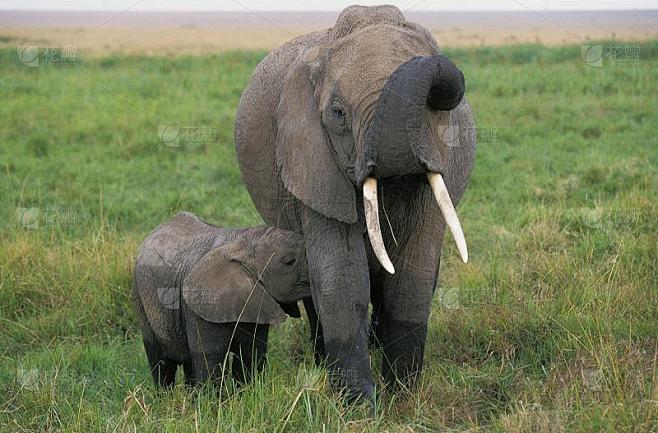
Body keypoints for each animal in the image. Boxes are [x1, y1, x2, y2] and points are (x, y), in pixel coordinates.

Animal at [132, 211, 310, 388]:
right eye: (289, 261)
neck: (243, 243)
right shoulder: (200, 306)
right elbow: (211, 357)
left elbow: (251, 352)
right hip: (140, 297)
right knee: (161, 362)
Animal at [234, 5, 476, 401]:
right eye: (337, 113)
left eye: (434, 106)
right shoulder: (312, 162)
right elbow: (342, 278)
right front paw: (360, 404)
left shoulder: (444, 158)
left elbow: (411, 278)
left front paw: (402, 397)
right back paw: (322, 360)